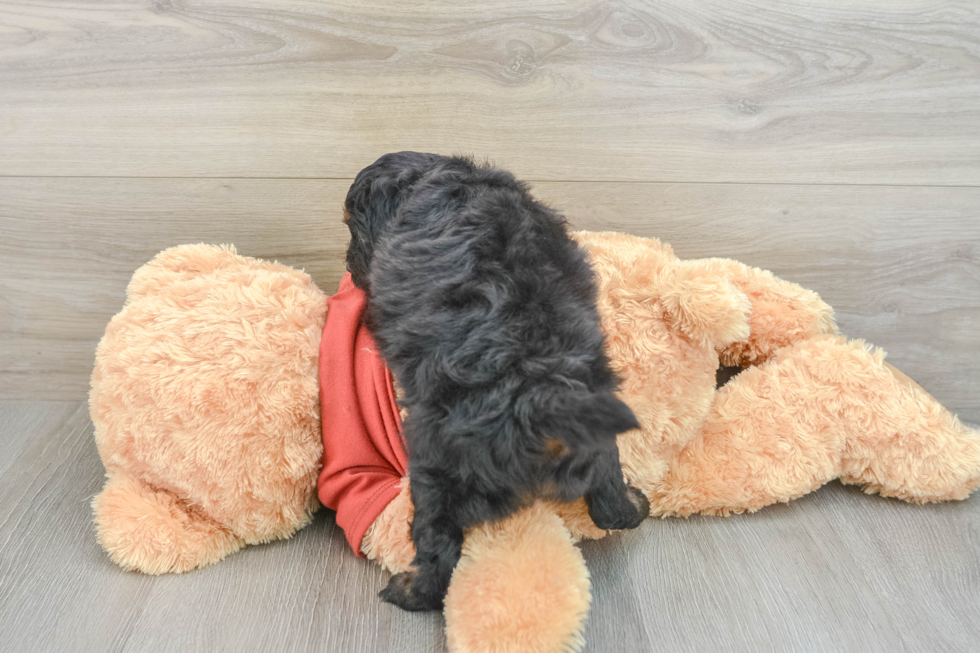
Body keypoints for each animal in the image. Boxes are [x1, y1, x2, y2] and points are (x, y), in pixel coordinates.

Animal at [344, 154, 652, 612]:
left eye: (352, 228)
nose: (347, 265)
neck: (429, 177)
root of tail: (531, 394)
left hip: (433, 462)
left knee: (438, 540)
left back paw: (410, 591)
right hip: (596, 426)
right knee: (608, 493)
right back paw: (632, 504)